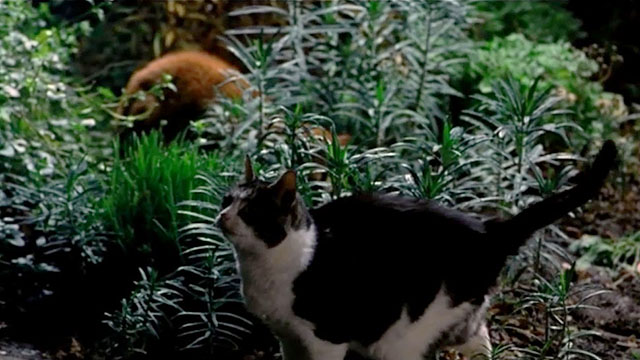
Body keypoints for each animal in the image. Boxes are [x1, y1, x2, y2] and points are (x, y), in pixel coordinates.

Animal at [218, 141, 616, 360]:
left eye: (250, 212)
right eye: (226, 200)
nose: (222, 216)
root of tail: (488, 229)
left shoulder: (325, 338)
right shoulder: (287, 338)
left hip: (405, 335)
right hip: (460, 319)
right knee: (481, 339)